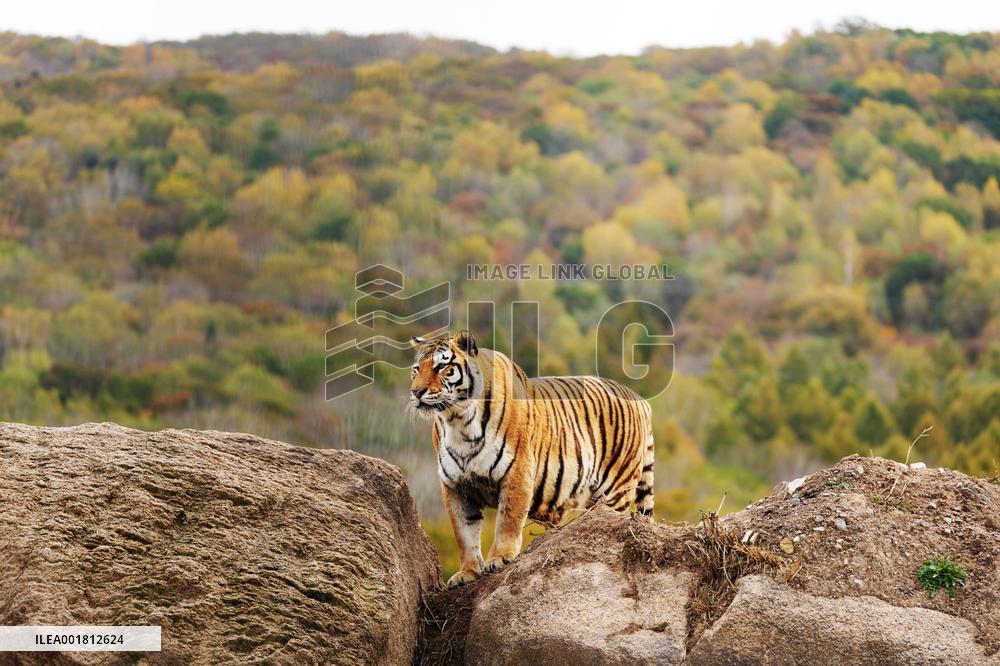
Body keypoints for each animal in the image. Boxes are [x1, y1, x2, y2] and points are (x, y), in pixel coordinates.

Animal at [409, 330, 655, 587]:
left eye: (441, 367)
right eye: (416, 369)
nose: (416, 392)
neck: (459, 421)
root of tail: (640, 399)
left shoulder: (516, 471)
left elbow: (507, 520)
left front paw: (499, 559)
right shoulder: (455, 485)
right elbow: (464, 533)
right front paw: (467, 573)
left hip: (615, 489)